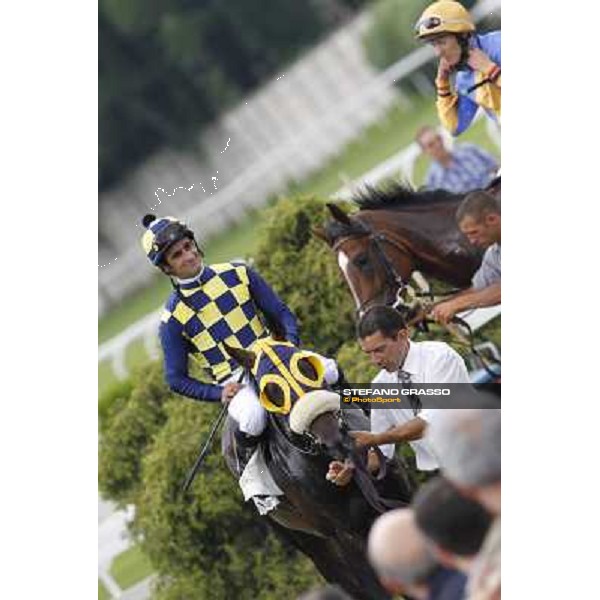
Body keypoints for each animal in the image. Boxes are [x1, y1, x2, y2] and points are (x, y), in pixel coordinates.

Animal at [223, 340, 414, 596]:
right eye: (272, 392)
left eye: (307, 366)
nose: (331, 435)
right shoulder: (345, 535)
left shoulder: (398, 492)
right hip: (312, 544)